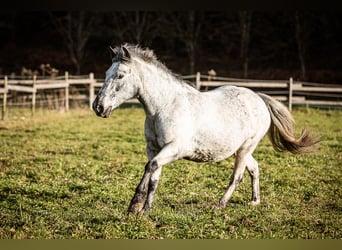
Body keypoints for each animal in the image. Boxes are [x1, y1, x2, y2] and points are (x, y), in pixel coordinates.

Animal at [91, 44, 318, 214]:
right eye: (107, 73)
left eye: (120, 75)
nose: (98, 107)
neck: (164, 106)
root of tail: (258, 98)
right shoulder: (154, 149)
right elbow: (154, 176)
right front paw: (144, 209)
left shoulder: (175, 149)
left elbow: (150, 167)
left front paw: (135, 205)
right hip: (240, 150)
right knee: (254, 168)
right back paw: (254, 201)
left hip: (245, 149)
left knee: (237, 177)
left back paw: (220, 204)